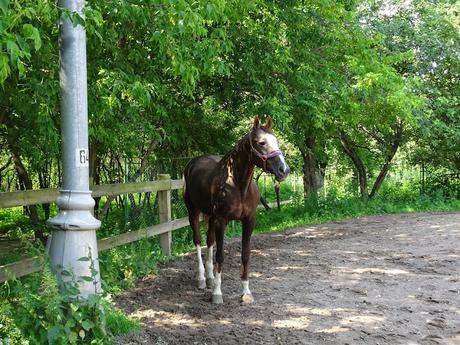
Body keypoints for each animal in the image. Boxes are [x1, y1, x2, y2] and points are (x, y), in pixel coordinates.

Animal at [182, 117, 288, 302]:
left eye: (276, 141)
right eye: (261, 142)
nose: (283, 170)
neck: (238, 186)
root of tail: (192, 163)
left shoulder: (249, 220)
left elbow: (245, 254)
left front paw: (246, 292)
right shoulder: (221, 220)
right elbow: (220, 255)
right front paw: (217, 293)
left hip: (210, 217)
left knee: (209, 241)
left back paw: (210, 278)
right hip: (193, 212)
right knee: (198, 241)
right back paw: (202, 279)